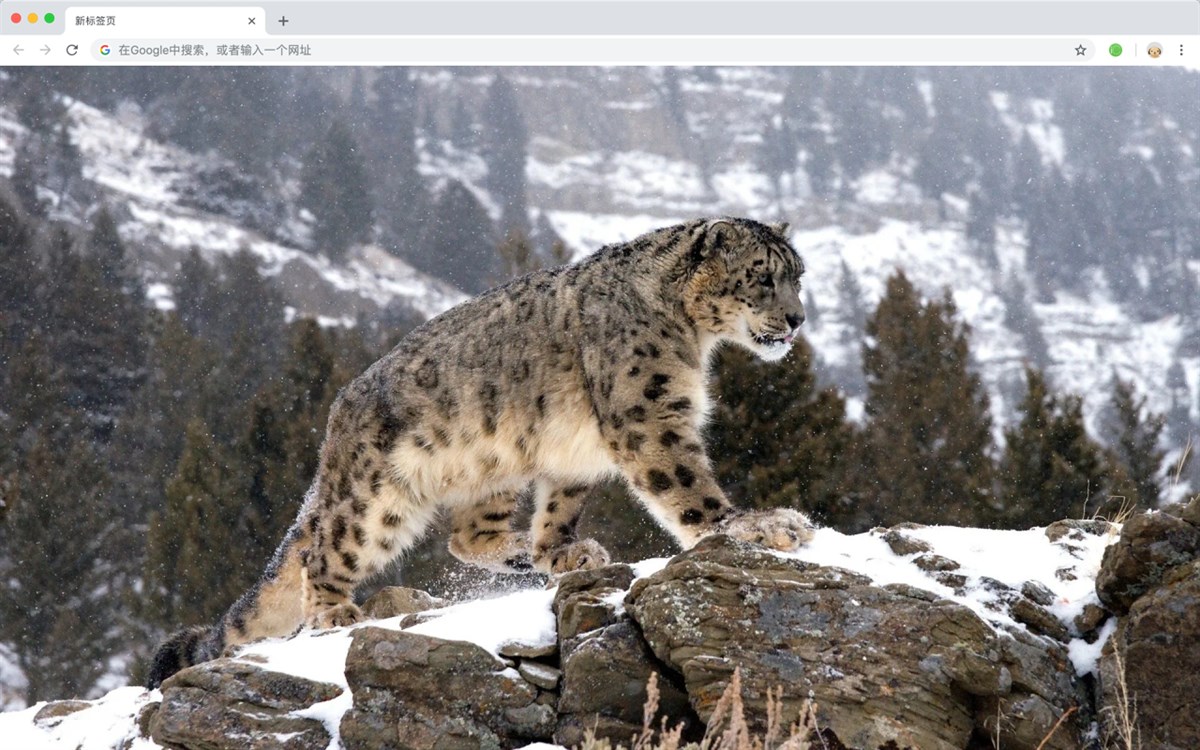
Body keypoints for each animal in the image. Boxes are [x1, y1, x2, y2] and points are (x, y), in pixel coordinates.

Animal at [147, 216, 815, 688]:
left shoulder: (577, 451)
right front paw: (756, 525)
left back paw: (520, 551)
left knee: (464, 535)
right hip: (374, 499)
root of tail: (336, 419)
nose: (797, 318)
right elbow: (688, 487)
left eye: (798, 276)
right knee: (323, 549)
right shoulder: (647, 416)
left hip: (495, 467)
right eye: (762, 276)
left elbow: (561, 504)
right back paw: (335, 612)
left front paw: (562, 551)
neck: (693, 339)